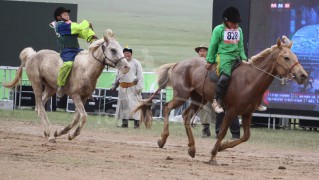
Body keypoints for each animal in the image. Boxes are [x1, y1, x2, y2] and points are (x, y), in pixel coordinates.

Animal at [2, 28, 130, 143]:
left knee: (39, 106)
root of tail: (31, 55)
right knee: (41, 107)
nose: (126, 67)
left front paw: (61, 132)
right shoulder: (75, 96)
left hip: (50, 88)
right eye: (113, 50)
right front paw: (70, 134)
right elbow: (84, 117)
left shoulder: (83, 98)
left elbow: (77, 118)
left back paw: (47, 132)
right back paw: (50, 136)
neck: (87, 69)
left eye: (120, 49)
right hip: (36, 84)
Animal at [136, 36, 310, 165]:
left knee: (185, 116)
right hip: (182, 95)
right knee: (166, 107)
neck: (250, 80)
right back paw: (162, 139)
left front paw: (221, 148)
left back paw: (192, 149)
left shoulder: (247, 113)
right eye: (286, 57)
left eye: (295, 57)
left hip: (198, 99)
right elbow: (222, 132)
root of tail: (178, 64)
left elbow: (245, 137)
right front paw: (213, 154)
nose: (303, 75)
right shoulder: (231, 111)